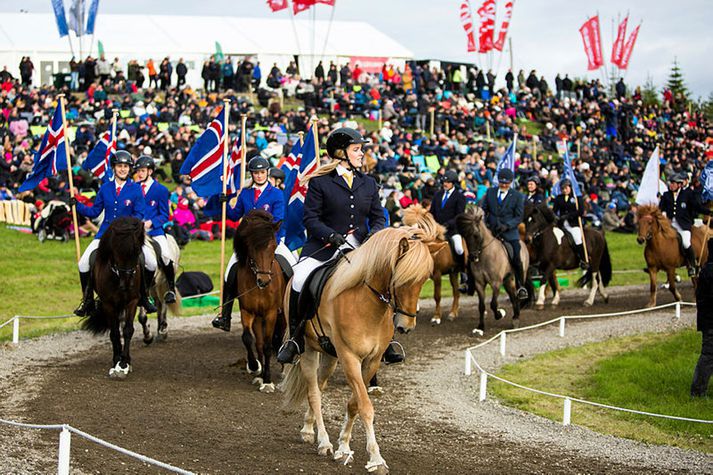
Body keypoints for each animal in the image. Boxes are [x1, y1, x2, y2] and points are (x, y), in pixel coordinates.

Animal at [81, 217, 145, 380]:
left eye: (137, 251)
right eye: (116, 251)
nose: (126, 284)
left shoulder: (132, 301)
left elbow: (127, 330)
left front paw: (123, 364)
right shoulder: (108, 304)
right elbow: (115, 333)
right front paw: (116, 362)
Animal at [232, 210, 286, 392]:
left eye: (274, 246)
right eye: (252, 247)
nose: (264, 281)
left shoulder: (271, 313)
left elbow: (269, 345)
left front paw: (268, 381)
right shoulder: (248, 311)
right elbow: (249, 339)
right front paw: (256, 368)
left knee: (281, 337)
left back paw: (283, 370)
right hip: (258, 318)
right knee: (260, 344)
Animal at [280, 227, 440, 472]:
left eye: (423, 280)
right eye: (402, 279)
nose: (406, 326)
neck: (367, 303)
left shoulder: (371, 360)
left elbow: (354, 403)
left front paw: (344, 447)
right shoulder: (349, 357)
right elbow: (365, 406)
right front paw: (376, 459)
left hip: (330, 356)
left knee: (320, 386)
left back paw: (309, 429)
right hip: (307, 349)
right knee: (314, 393)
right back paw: (323, 442)